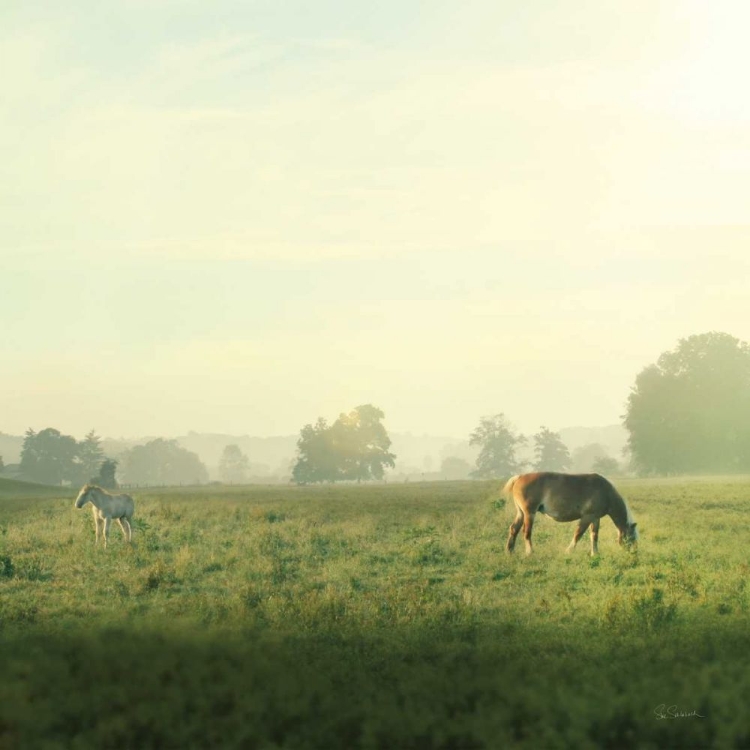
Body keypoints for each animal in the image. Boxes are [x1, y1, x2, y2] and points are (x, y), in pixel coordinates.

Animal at [506, 476, 640, 560]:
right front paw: (569, 551)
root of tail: (519, 477)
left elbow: (594, 536)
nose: (633, 553)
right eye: (632, 538)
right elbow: (578, 534)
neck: (606, 492)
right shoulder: (587, 517)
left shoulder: (595, 518)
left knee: (514, 529)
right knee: (527, 532)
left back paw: (510, 551)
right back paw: (529, 553)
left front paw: (595, 554)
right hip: (529, 514)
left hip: (521, 514)